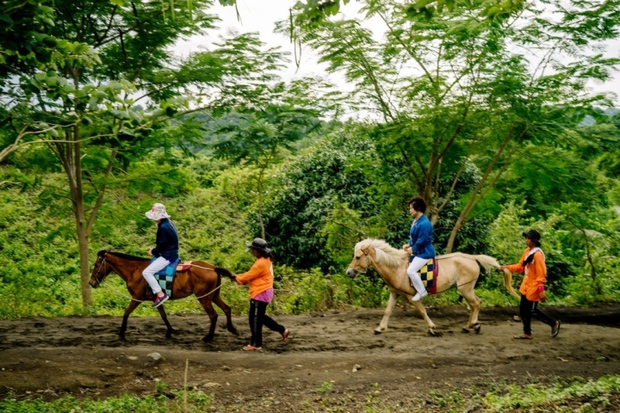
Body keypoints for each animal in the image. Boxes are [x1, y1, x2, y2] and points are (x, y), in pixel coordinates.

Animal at [88, 249, 239, 342]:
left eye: (96, 264)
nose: (91, 282)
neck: (135, 270)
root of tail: (213, 268)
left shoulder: (137, 298)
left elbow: (126, 313)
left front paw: (122, 332)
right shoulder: (156, 299)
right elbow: (163, 315)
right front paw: (170, 331)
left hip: (204, 298)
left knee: (213, 315)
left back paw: (208, 337)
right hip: (213, 296)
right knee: (227, 309)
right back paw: (232, 329)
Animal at [344, 238, 520, 334]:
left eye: (357, 257)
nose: (348, 272)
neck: (397, 267)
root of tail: (471, 257)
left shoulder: (411, 296)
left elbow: (422, 311)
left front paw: (432, 327)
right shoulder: (395, 293)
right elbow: (387, 311)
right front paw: (380, 328)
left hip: (465, 288)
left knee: (476, 303)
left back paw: (472, 325)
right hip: (465, 289)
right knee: (474, 305)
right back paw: (470, 326)